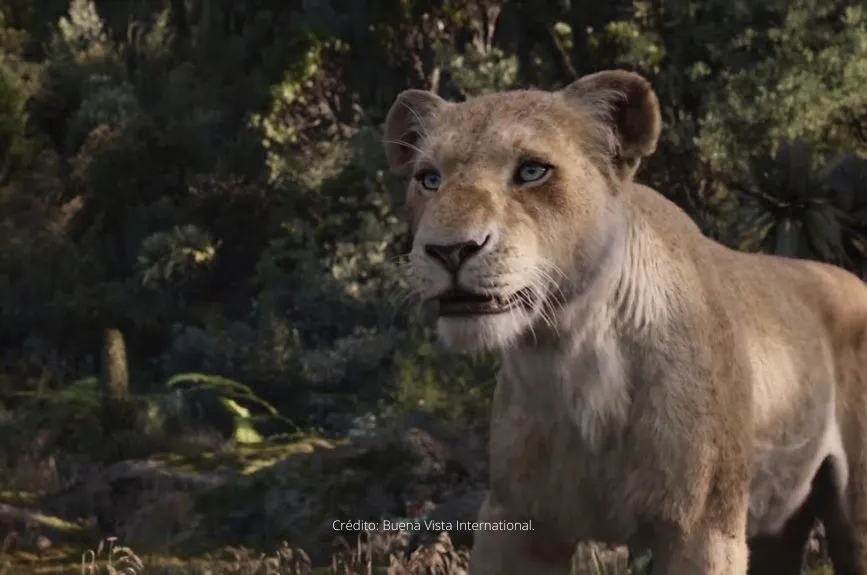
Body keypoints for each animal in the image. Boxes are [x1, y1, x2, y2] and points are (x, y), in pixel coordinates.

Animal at [382, 69, 867, 574]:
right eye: (429, 179)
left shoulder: (706, 531)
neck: (571, 353)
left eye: (532, 171)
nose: (449, 250)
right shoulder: (516, 521)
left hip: (854, 514)